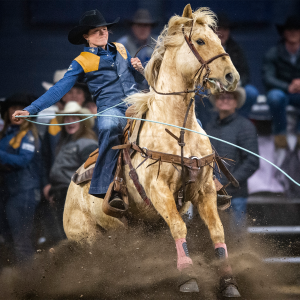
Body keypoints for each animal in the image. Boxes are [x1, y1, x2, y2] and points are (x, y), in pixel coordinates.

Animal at [63, 4, 241, 298]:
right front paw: (188, 277)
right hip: (88, 239)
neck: (179, 132)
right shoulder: (158, 189)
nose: (231, 77)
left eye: (218, 39)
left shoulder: (203, 189)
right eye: (200, 41)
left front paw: (228, 281)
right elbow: (179, 226)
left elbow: (217, 231)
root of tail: (68, 196)